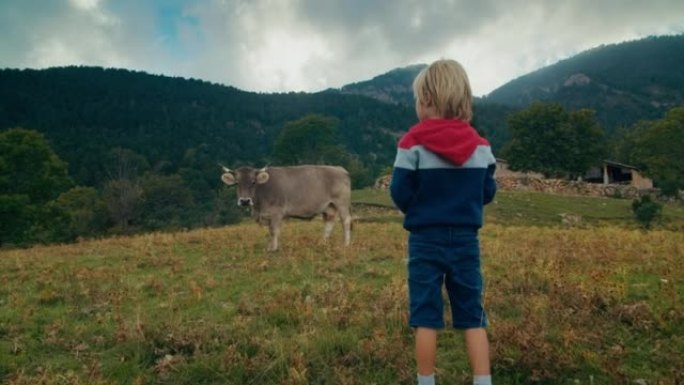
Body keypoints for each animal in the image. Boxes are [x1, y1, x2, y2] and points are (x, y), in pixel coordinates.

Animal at [220, 164, 352, 249]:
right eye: (237, 183)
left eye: (253, 182)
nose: (245, 201)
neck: (259, 207)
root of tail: (339, 169)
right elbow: (270, 232)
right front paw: (269, 247)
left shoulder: (277, 212)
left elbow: (274, 231)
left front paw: (273, 249)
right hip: (329, 206)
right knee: (329, 222)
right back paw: (323, 242)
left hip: (341, 202)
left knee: (345, 220)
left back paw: (346, 244)